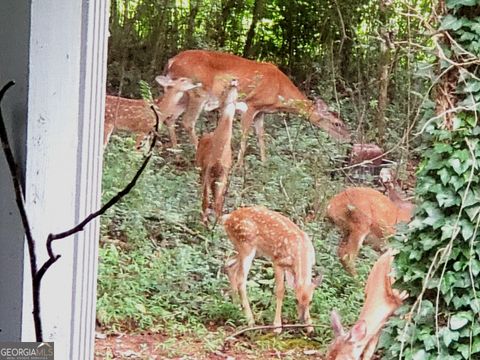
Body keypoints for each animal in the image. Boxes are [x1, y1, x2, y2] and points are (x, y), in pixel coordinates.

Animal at [160, 48, 348, 163]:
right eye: (337, 123)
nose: (348, 139)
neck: (279, 91)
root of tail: (172, 60)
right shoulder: (251, 104)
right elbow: (244, 134)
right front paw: (239, 165)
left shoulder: (261, 112)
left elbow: (261, 136)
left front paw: (264, 163)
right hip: (197, 92)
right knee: (187, 121)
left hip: (181, 94)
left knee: (170, 117)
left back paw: (177, 155)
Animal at [196, 80, 248, 224]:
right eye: (223, 90)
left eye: (238, 95)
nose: (234, 81)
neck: (218, 157)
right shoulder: (207, 169)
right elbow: (205, 198)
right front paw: (203, 221)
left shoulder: (224, 173)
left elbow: (218, 202)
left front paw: (217, 223)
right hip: (200, 168)